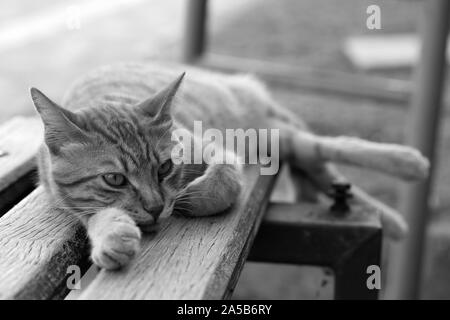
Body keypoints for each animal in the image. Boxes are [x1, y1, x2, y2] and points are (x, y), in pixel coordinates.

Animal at [29, 60, 430, 270]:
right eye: (114, 179)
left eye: (164, 169)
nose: (156, 208)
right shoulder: (68, 201)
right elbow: (96, 214)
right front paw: (113, 235)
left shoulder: (214, 149)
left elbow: (224, 181)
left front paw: (192, 199)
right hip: (273, 139)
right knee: (312, 159)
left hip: (260, 131)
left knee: (326, 145)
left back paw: (408, 164)